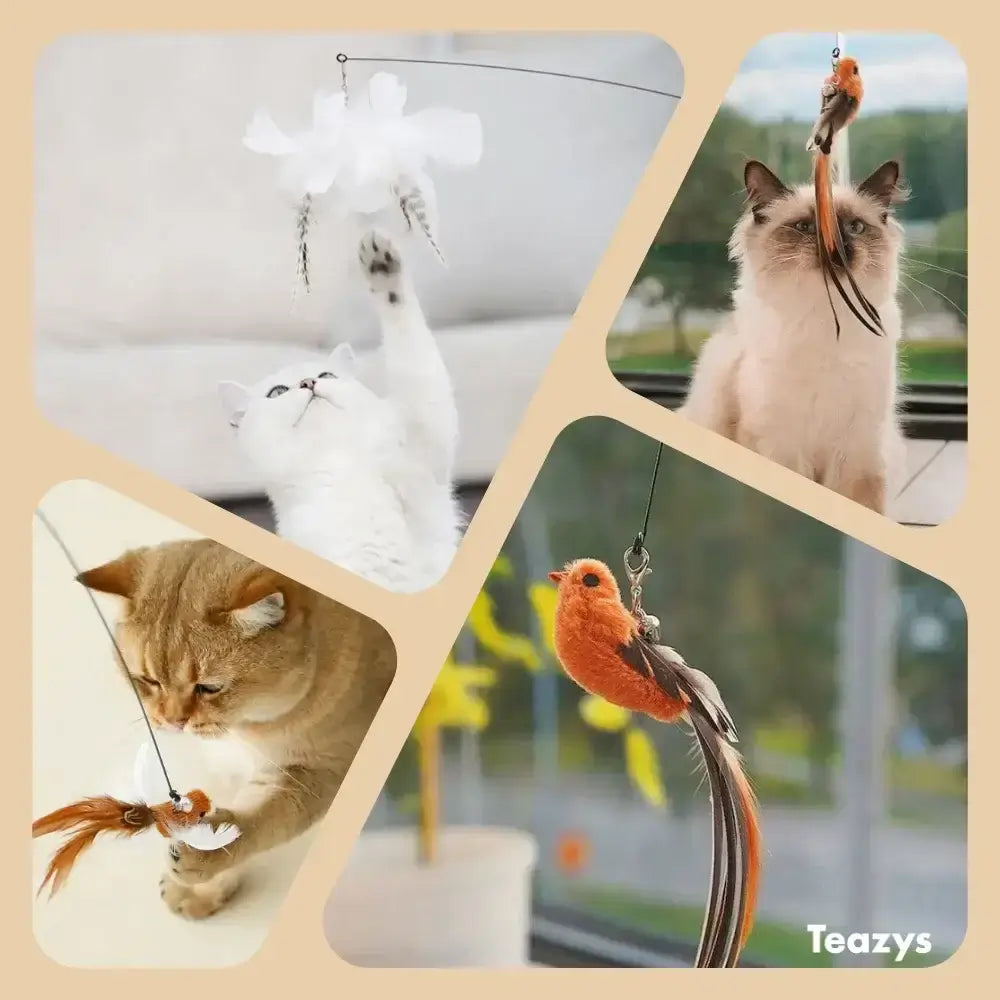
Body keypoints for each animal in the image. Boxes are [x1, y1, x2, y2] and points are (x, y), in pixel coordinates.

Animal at [77, 540, 394, 920]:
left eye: (210, 687)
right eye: (148, 681)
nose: (172, 721)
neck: (245, 729)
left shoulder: (319, 771)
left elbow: (259, 823)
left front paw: (205, 855)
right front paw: (206, 889)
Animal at [219, 232, 460, 592]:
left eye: (327, 375)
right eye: (278, 392)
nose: (308, 383)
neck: (338, 465)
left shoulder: (424, 447)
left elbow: (411, 349)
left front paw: (380, 261)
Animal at [680, 161, 908, 516]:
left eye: (855, 227)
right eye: (804, 226)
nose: (837, 248)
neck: (827, 322)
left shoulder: (857, 449)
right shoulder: (781, 445)